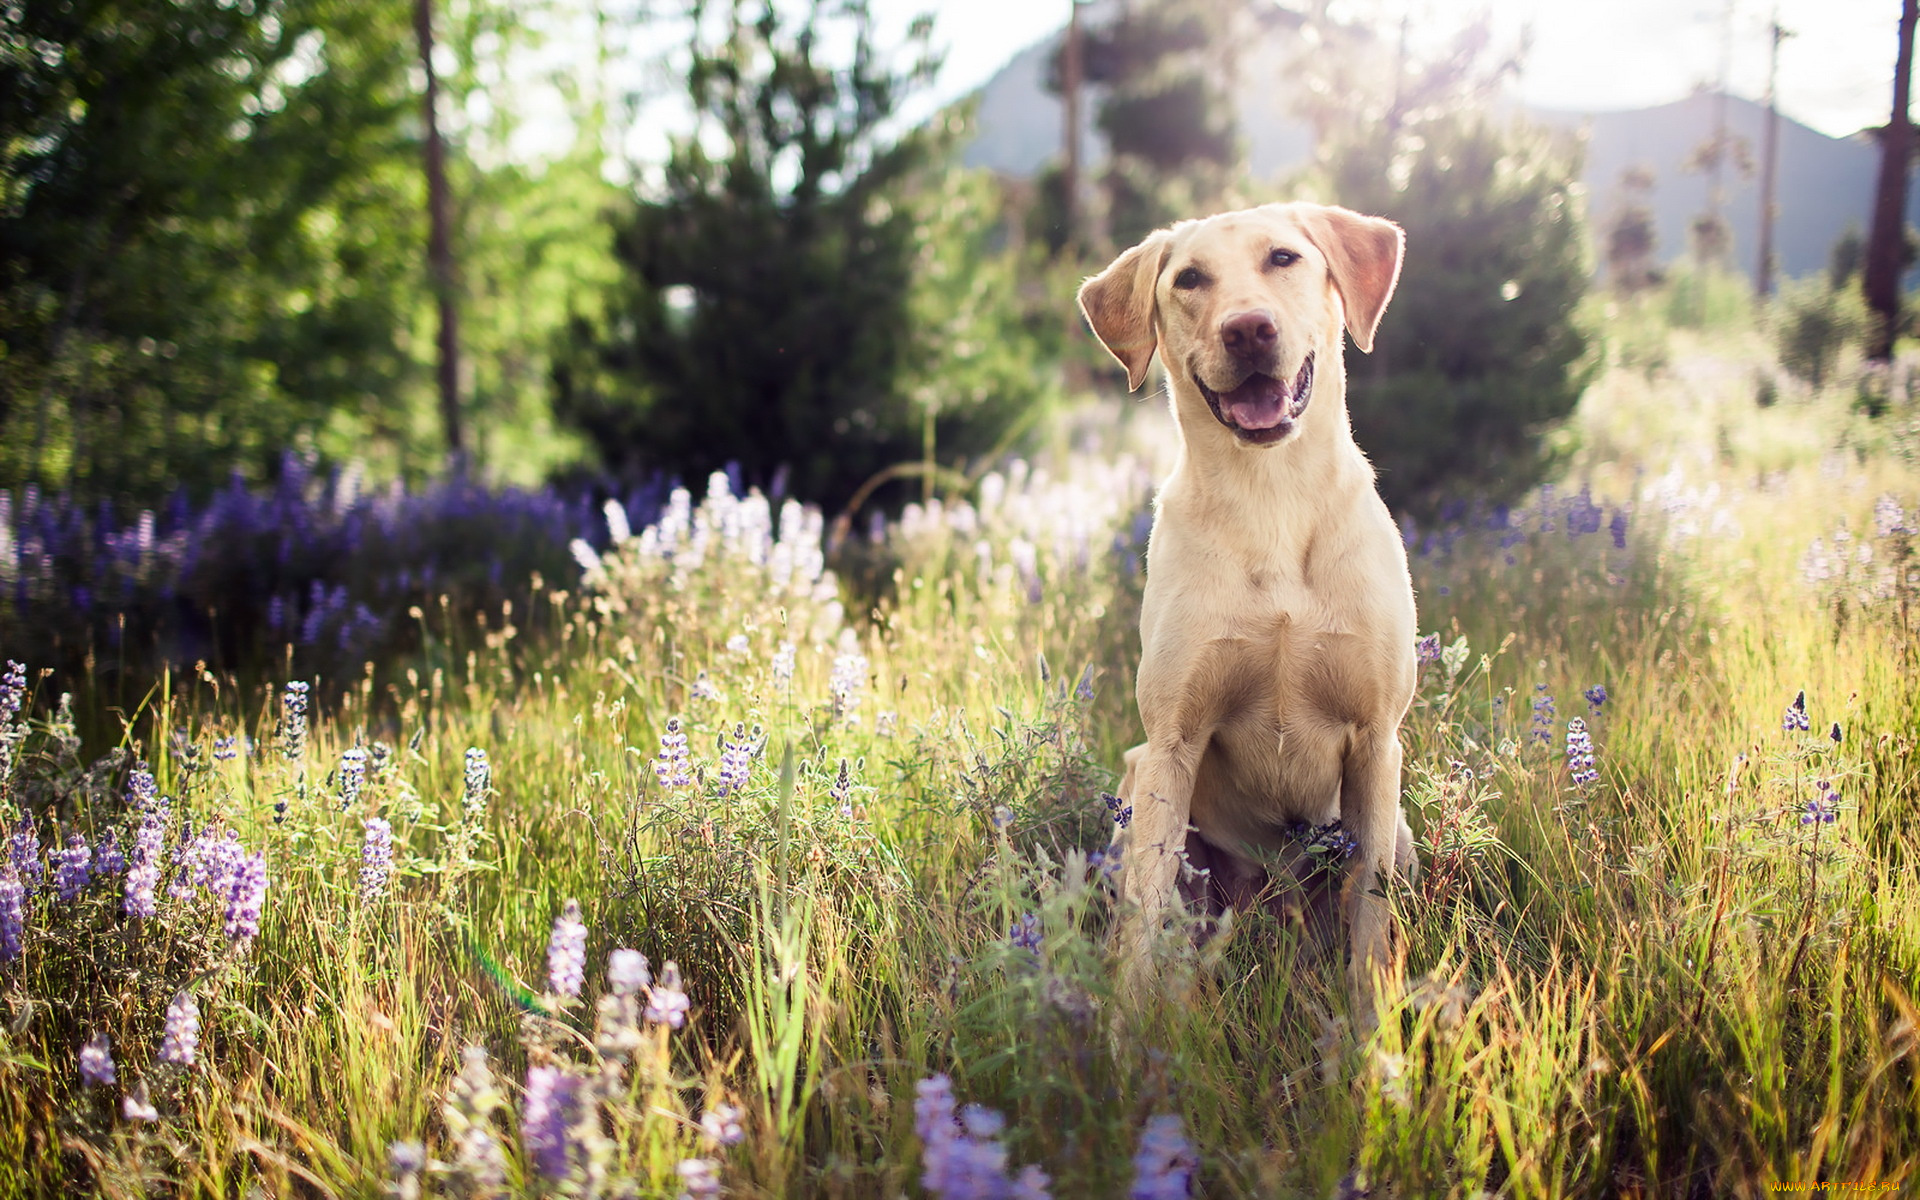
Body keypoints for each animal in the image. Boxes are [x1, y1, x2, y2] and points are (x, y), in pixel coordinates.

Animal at [1082, 203, 1428, 1021]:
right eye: (1188, 279)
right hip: (1136, 781)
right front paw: (1127, 1033)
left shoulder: (1377, 740)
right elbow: (1146, 913)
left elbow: (1370, 919)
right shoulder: (1172, 742)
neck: (1271, 495)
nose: (1247, 329)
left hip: (1397, 827)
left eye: (1283, 258)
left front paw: (1370, 1031)